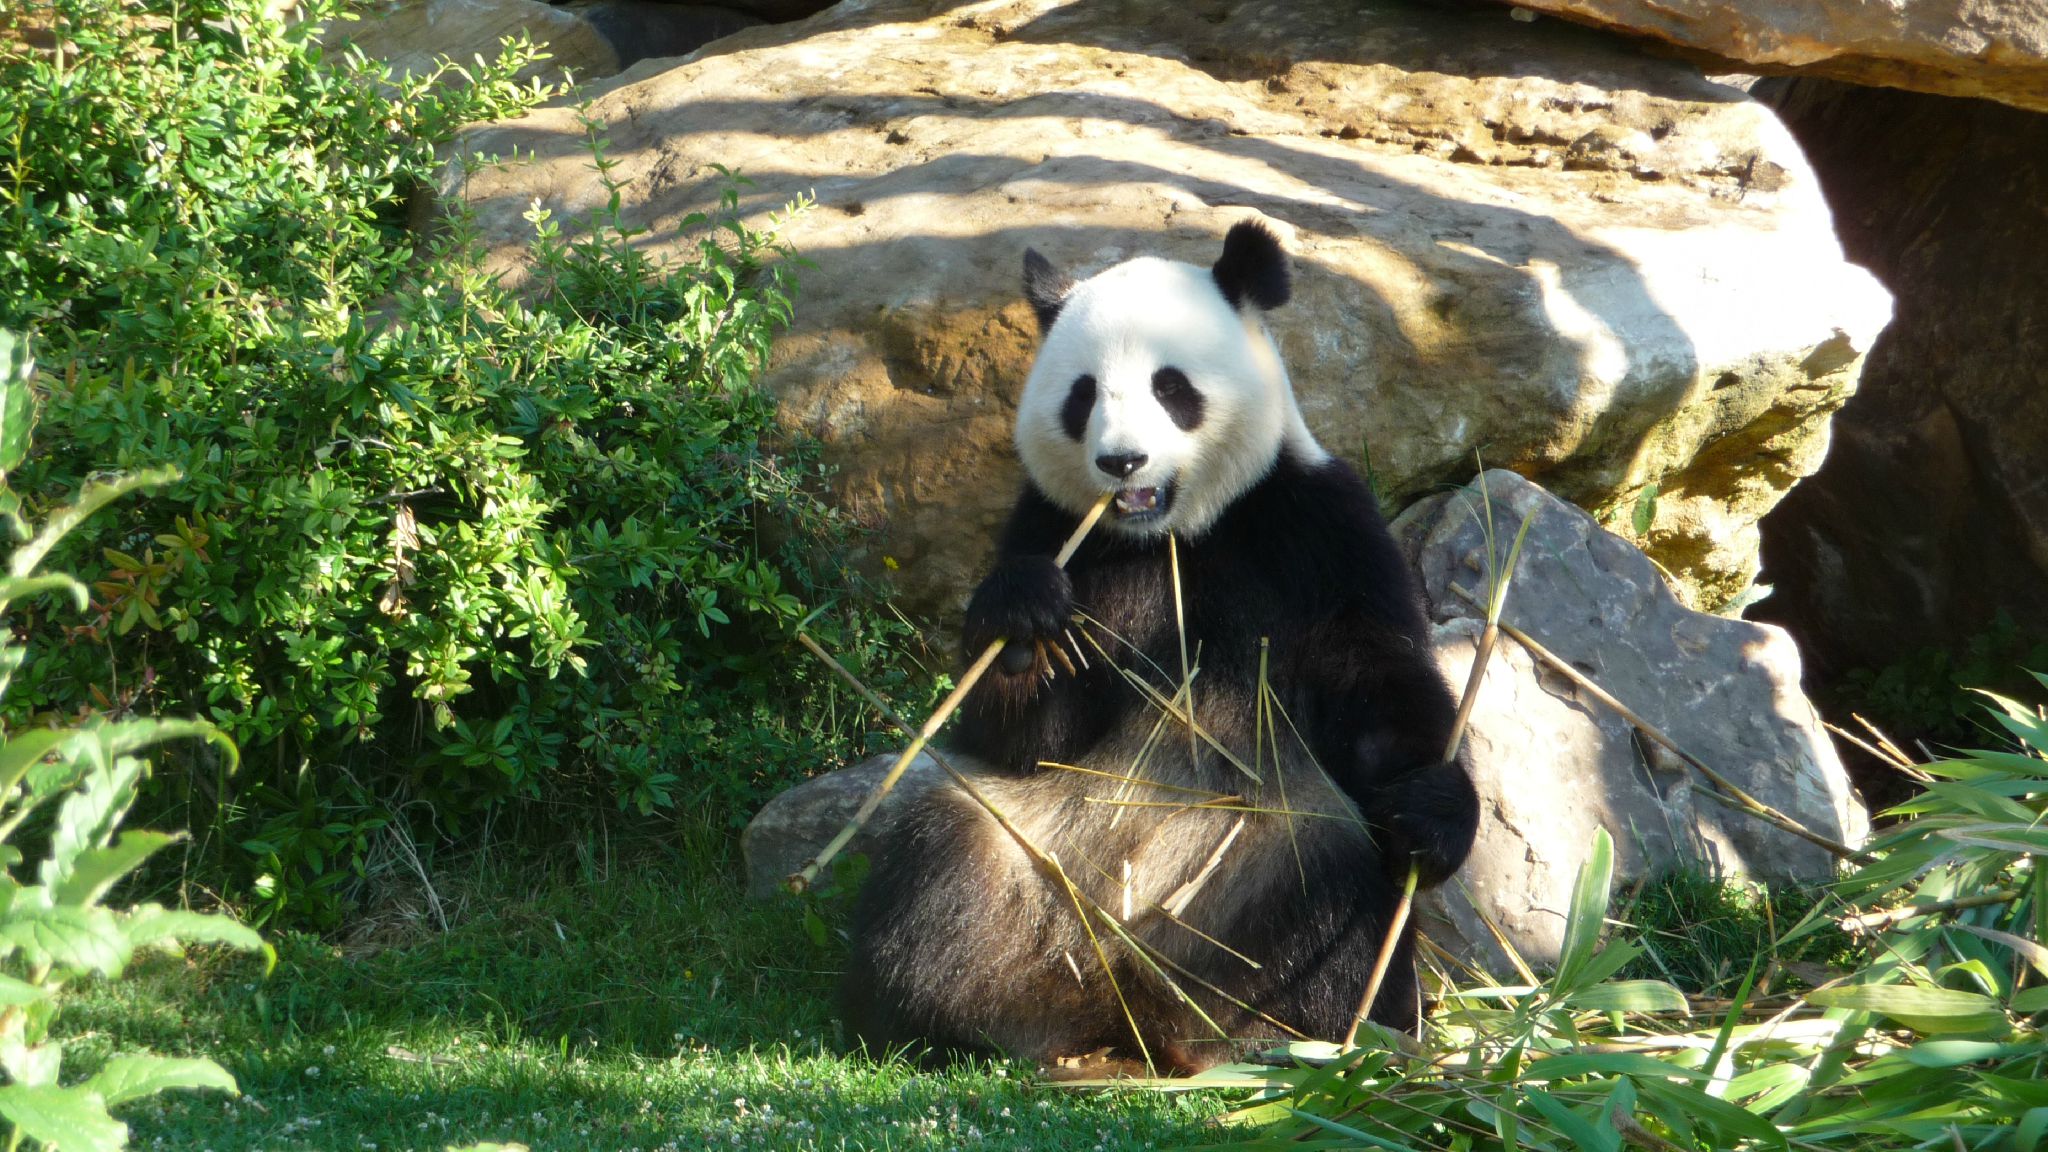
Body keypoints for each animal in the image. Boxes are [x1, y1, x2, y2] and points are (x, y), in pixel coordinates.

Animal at [839, 219, 1482, 1074]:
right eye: (1082, 395)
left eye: (1170, 388)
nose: (1122, 462)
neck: (1170, 537)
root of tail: (1127, 997)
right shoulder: (1053, 528)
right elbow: (1023, 737)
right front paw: (1024, 622)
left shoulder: (1315, 526)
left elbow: (1379, 685)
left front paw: (1432, 812)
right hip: (1032, 854)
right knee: (948, 855)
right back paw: (955, 1018)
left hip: (1256, 875)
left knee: (1335, 896)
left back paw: (1285, 1035)